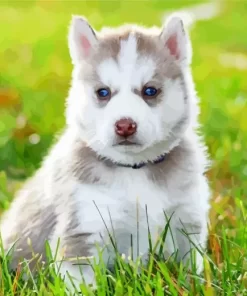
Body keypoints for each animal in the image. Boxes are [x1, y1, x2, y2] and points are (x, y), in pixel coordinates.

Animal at [0, 14, 211, 292]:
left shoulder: (185, 221)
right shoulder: (82, 231)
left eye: (150, 91)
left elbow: (190, 271)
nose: (125, 125)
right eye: (103, 92)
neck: (134, 170)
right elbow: (83, 285)